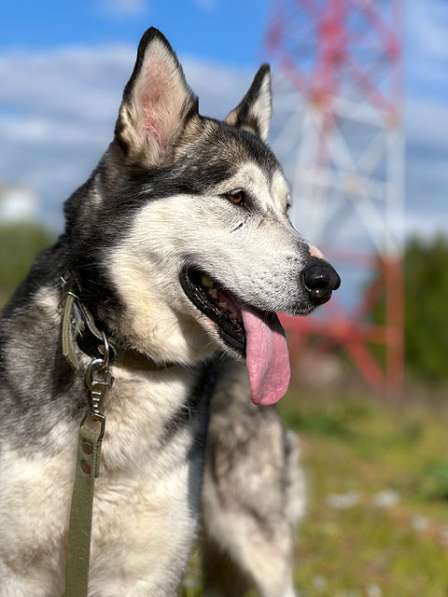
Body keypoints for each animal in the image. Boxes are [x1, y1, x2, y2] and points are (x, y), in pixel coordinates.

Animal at [0, 25, 340, 592]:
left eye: (287, 210)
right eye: (238, 198)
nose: (327, 281)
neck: (124, 364)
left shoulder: (145, 573)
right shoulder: (16, 568)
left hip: (258, 540)